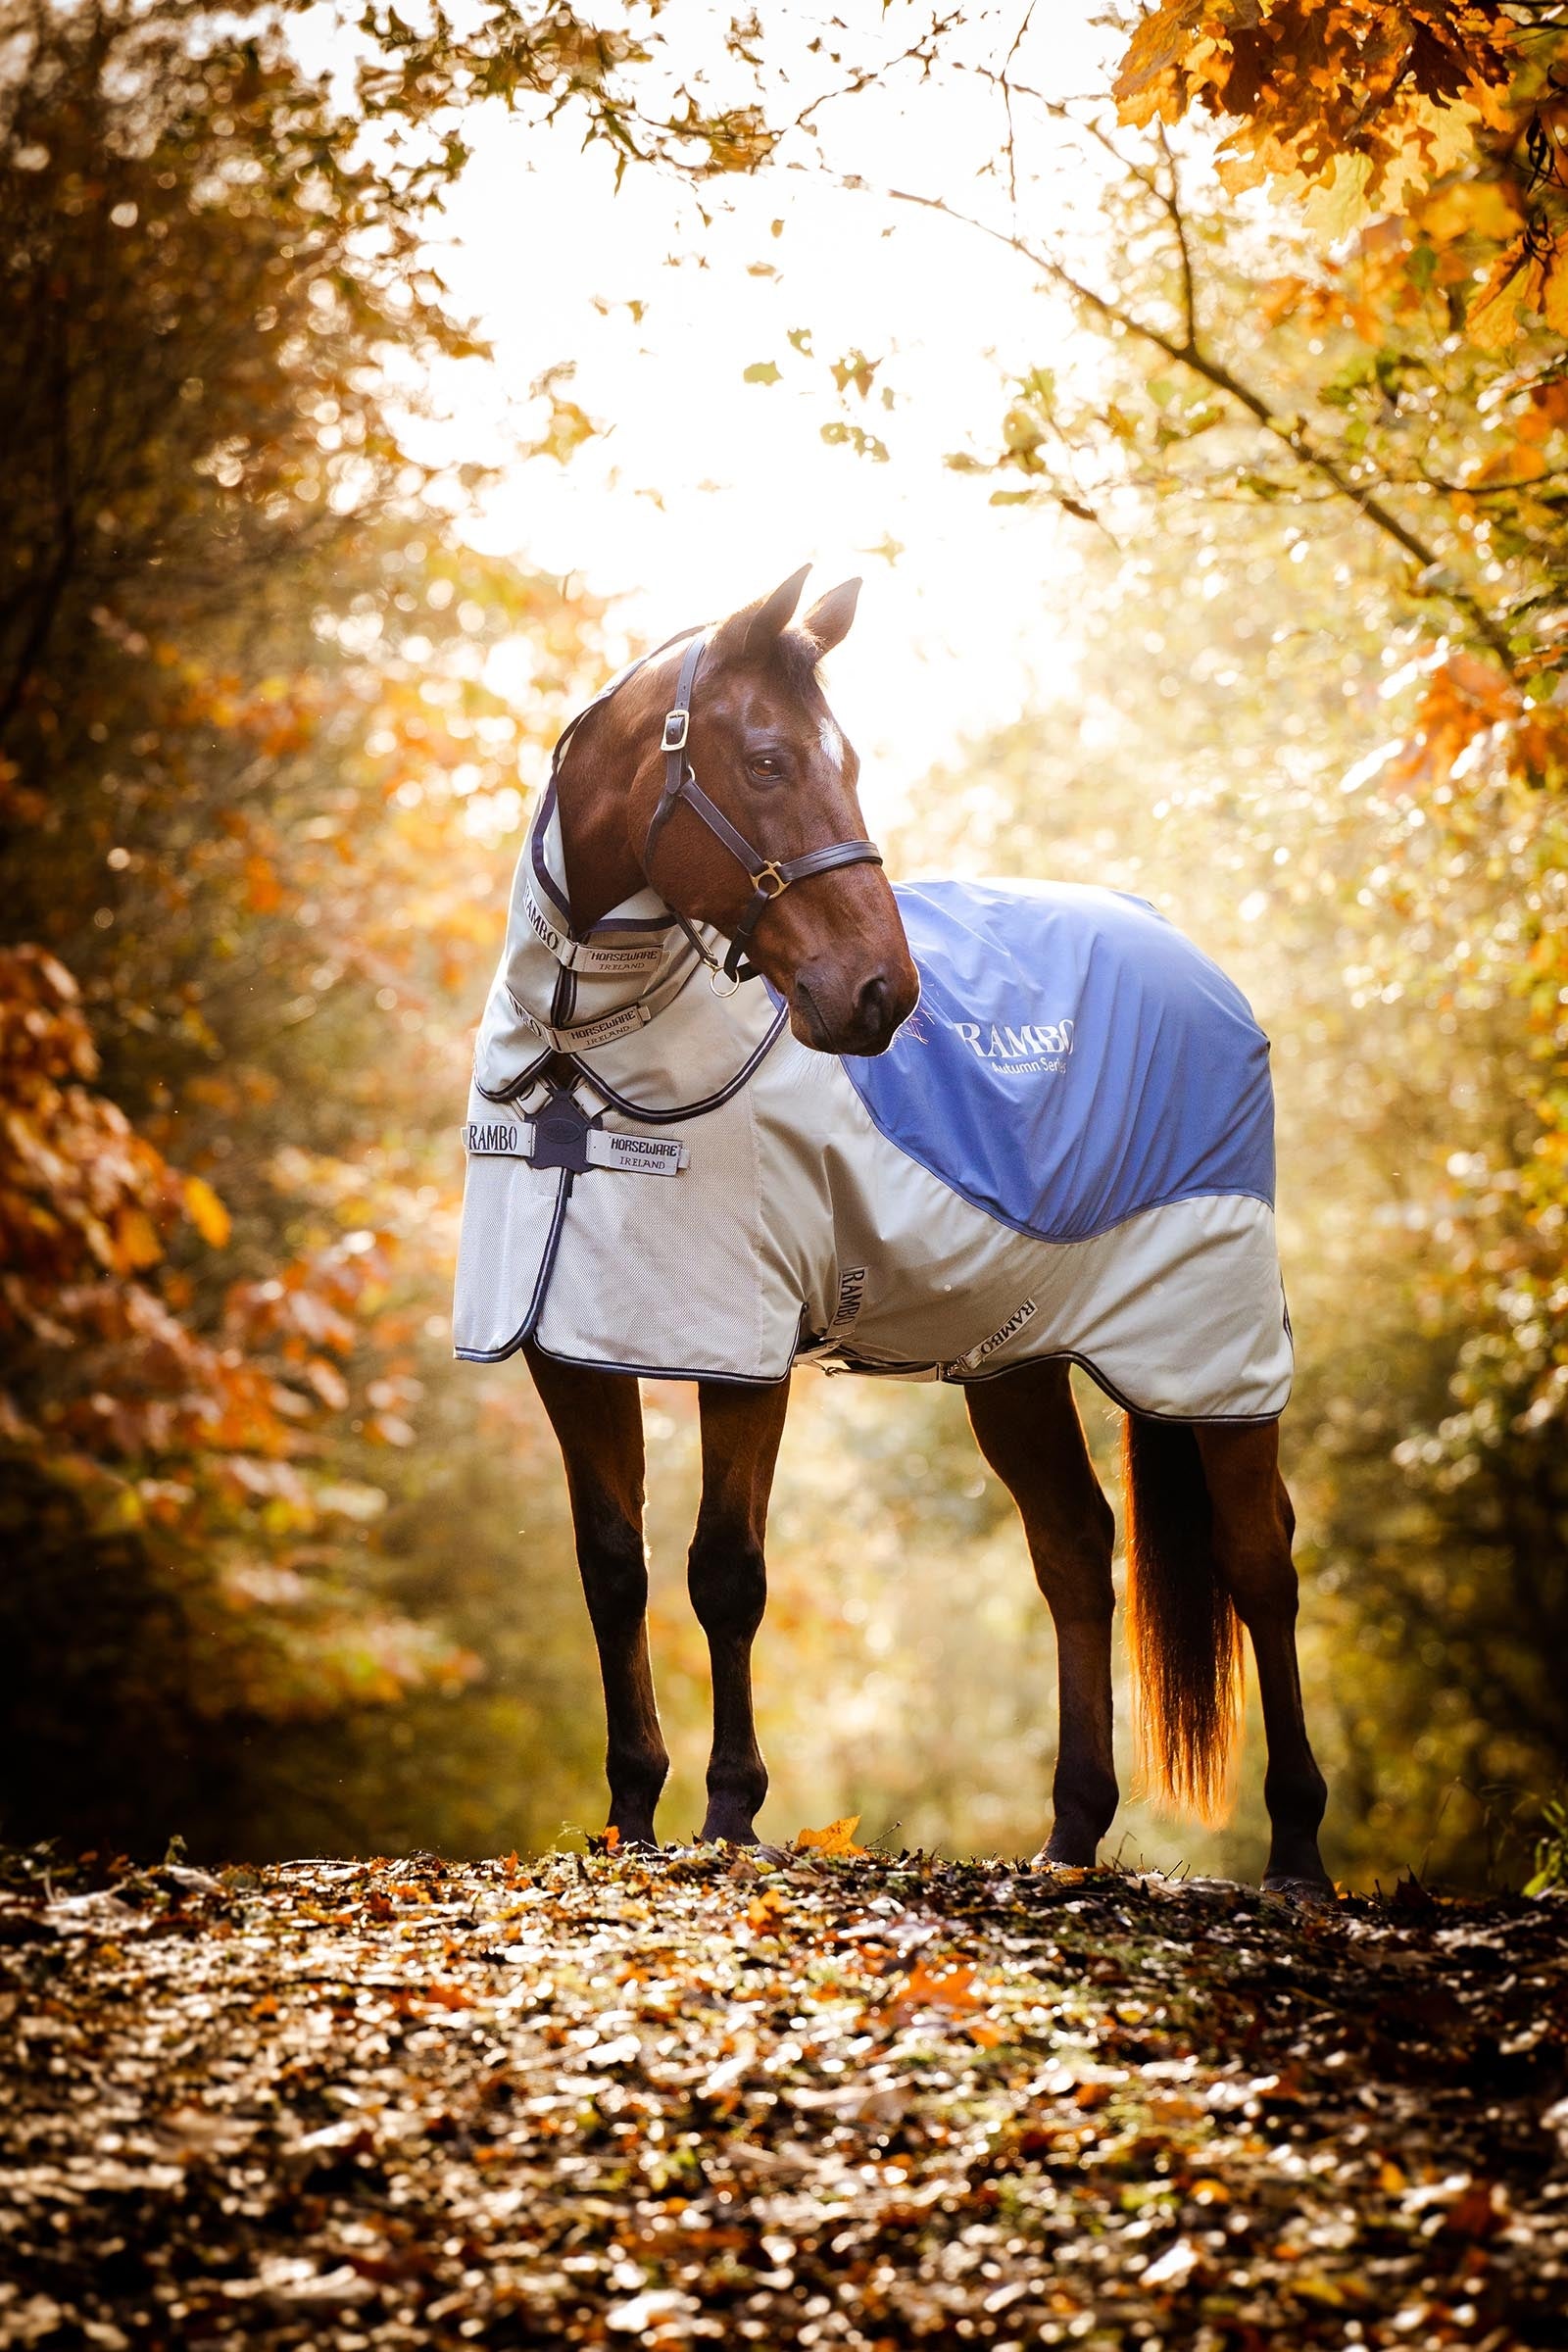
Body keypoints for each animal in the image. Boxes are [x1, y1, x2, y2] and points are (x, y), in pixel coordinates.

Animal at [455, 566, 1331, 1897]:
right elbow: (615, 1565)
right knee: (1074, 1550)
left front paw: (730, 1812)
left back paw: (1295, 1851)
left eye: (848, 762)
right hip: (1016, 1360)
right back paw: (1066, 1838)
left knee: (1255, 1563)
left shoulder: (740, 1350)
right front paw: (631, 1816)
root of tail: (1197, 967)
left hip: (1210, 1352)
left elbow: (724, 1571)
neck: (581, 1056)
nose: (882, 996)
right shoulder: (569, 1344)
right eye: (766, 761)